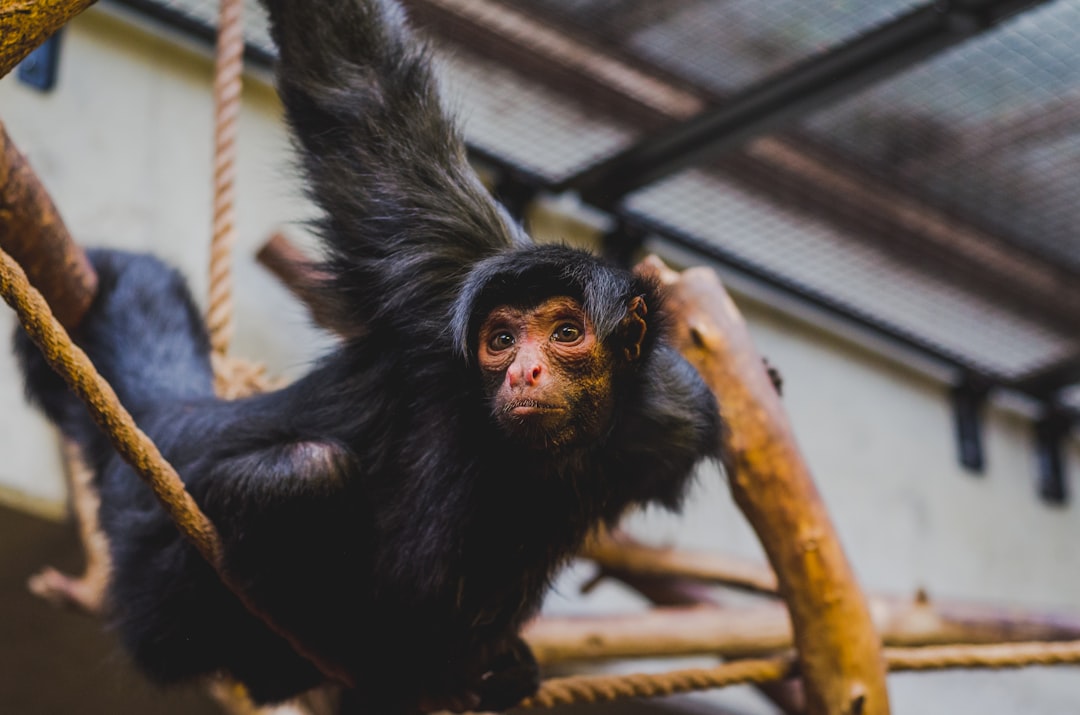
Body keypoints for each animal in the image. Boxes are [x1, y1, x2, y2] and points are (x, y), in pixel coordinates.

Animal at [12, 0, 721, 712]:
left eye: (566, 332)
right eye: (500, 341)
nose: (526, 369)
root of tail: (180, 420)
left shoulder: (672, 412)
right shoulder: (443, 282)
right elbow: (358, 86)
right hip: (160, 594)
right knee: (308, 472)